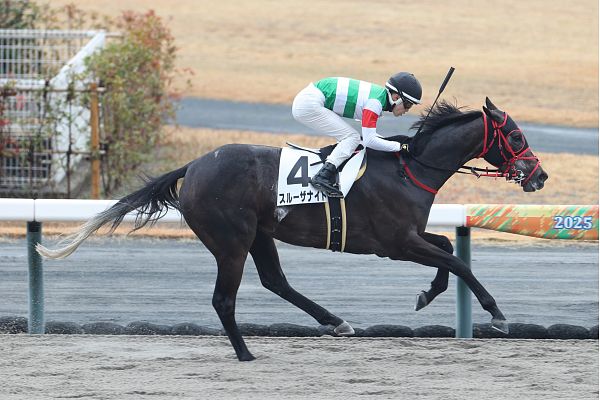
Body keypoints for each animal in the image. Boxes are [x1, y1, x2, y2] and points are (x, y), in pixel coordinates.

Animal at [37, 97, 548, 361]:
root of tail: (194, 166)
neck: (409, 168)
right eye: (516, 136)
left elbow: (446, 250)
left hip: (260, 234)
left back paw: (336, 322)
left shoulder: (409, 237)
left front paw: (427, 294)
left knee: (275, 281)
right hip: (232, 242)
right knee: (225, 299)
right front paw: (497, 314)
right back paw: (246, 353)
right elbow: (458, 261)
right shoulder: (395, 242)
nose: (539, 175)